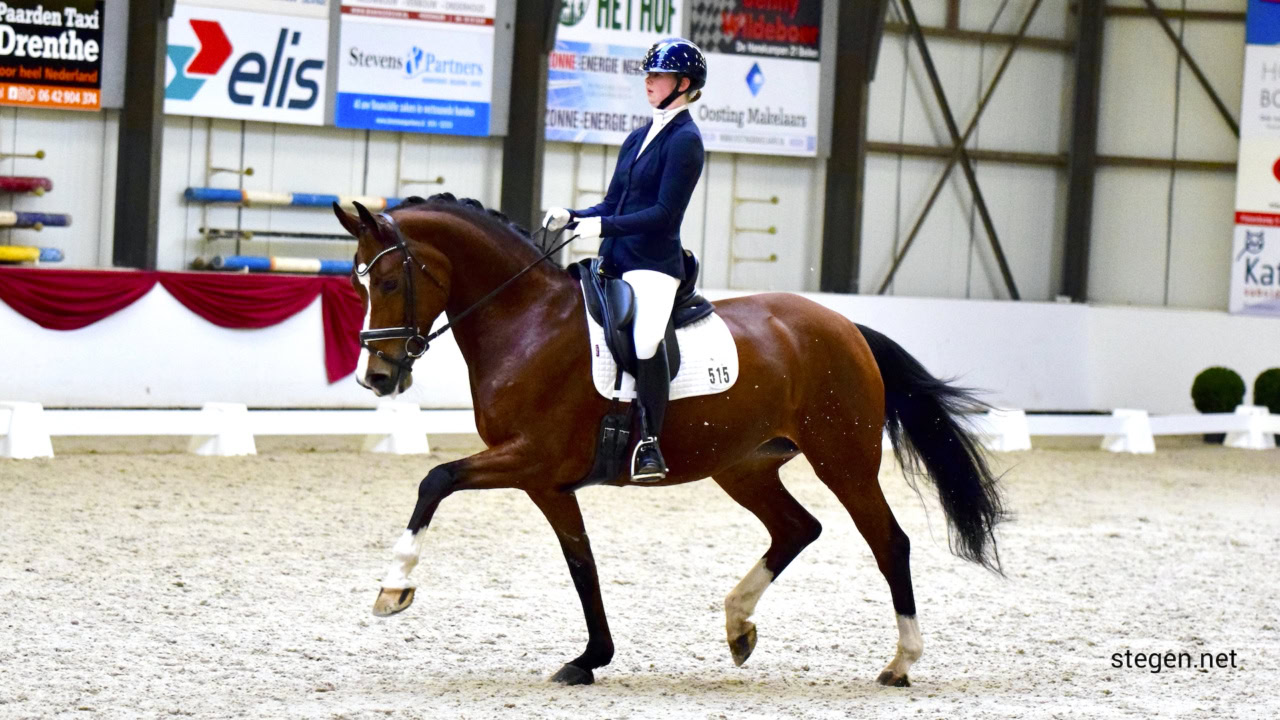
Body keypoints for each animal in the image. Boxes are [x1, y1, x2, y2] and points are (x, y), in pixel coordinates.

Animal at [332, 194, 1008, 681]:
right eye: (358, 283)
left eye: (388, 282)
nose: (376, 377)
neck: (526, 322)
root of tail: (846, 326)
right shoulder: (545, 480)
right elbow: (582, 562)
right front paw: (590, 659)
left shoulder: (529, 457)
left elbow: (435, 479)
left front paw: (394, 588)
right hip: (743, 466)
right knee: (797, 528)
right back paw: (738, 626)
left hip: (842, 459)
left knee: (888, 542)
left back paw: (900, 662)